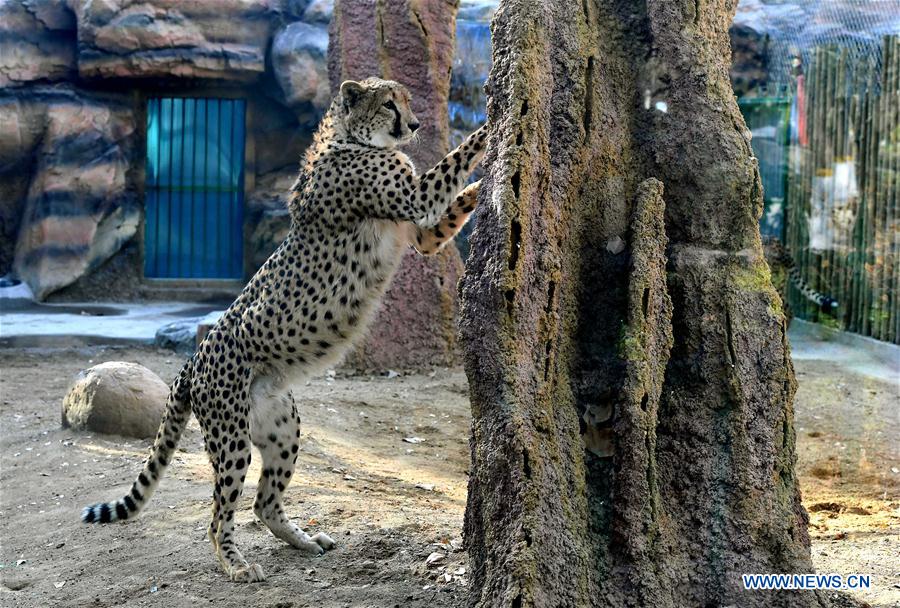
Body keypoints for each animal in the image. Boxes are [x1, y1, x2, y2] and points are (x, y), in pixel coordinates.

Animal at [81, 77, 487, 583]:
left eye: (407, 102)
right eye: (389, 104)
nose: (413, 125)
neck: (350, 138)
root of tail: (191, 361)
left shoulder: (422, 233)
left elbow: (452, 206)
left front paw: (485, 182)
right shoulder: (415, 199)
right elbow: (454, 160)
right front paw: (495, 131)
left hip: (281, 426)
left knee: (263, 503)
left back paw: (304, 540)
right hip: (231, 438)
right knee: (219, 516)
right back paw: (237, 566)